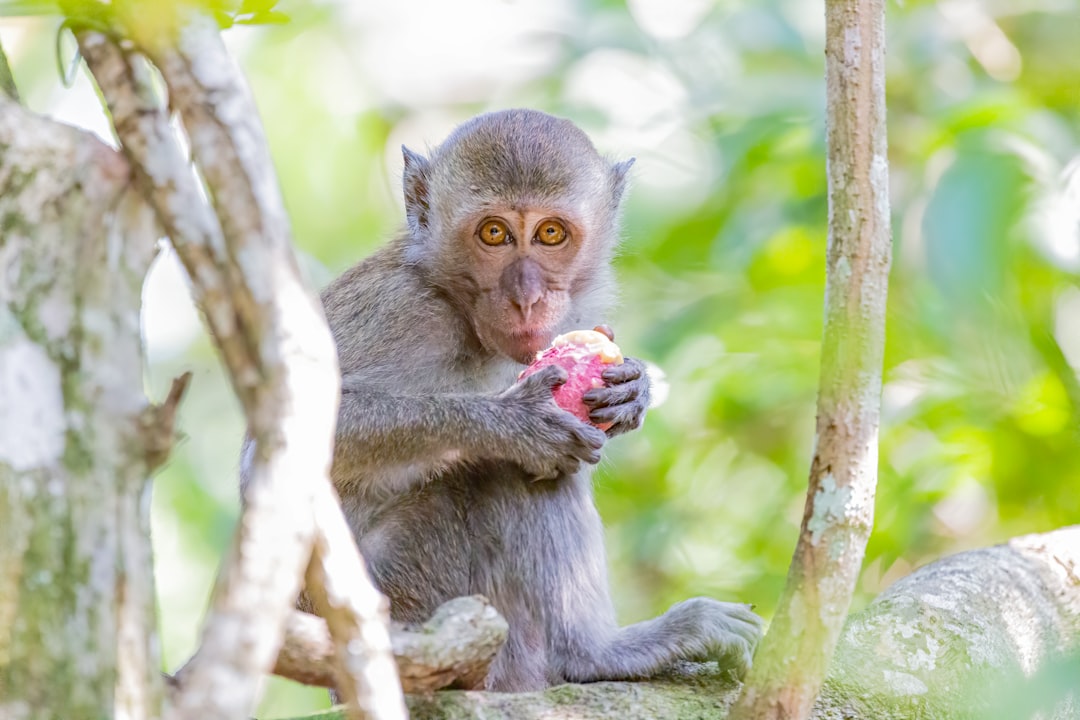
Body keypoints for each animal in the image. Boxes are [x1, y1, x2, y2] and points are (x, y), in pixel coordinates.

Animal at [253, 108, 764, 690]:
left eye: (550, 233)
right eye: (494, 233)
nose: (527, 297)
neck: (458, 307)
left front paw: (634, 390)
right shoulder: (400, 311)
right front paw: (516, 424)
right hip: (414, 597)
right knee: (508, 475)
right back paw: (594, 653)